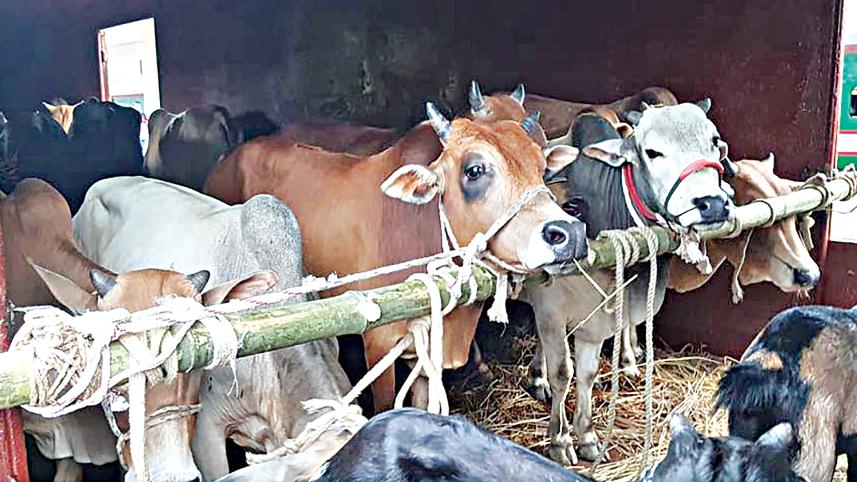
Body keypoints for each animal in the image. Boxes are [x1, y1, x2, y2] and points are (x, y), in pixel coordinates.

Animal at [524, 102, 733, 464]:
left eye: (713, 141)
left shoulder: (594, 321)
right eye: (652, 151)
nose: (713, 204)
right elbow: (564, 372)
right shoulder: (551, 310)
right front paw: (561, 441)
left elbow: (587, 373)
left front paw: (588, 437)